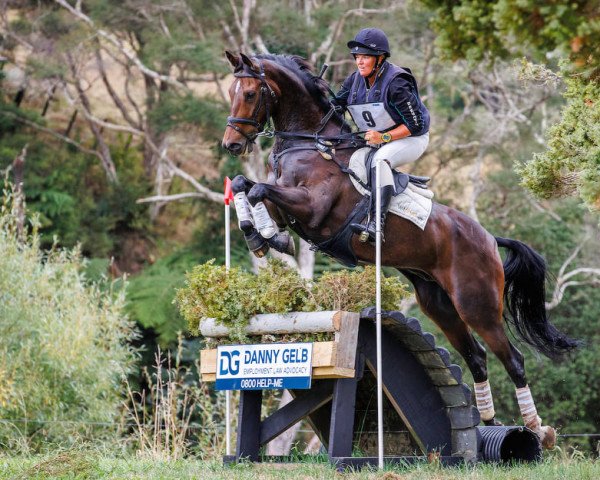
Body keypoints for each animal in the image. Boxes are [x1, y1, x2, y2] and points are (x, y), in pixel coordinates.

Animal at [223, 50, 580, 448]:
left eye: (250, 93)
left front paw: (269, 238)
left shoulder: (313, 209)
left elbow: (258, 189)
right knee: (476, 357)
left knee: (513, 359)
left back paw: (537, 430)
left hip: (477, 304)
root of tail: (488, 238)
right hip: (438, 303)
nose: (231, 145)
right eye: (231, 91)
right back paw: (489, 424)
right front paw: (259, 236)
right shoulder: (289, 208)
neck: (311, 145)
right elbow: (245, 185)